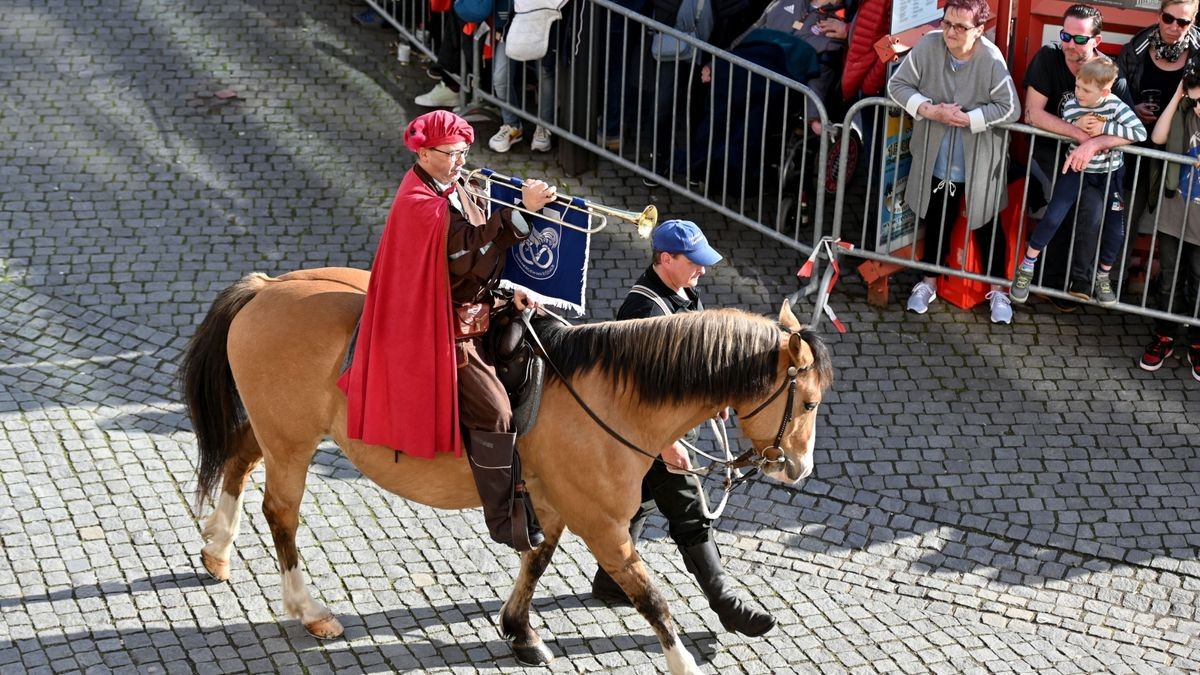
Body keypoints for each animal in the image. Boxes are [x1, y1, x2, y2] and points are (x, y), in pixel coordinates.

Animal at [180, 265, 835, 667]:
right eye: (807, 403)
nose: (799, 468)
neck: (609, 395)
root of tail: (268, 287)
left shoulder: (555, 503)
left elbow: (535, 562)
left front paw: (519, 632)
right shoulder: (603, 525)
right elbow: (653, 600)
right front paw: (683, 664)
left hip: (282, 429)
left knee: (238, 458)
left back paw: (217, 549)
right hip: (292, 441)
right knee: (281, 513)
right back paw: (309, 610)